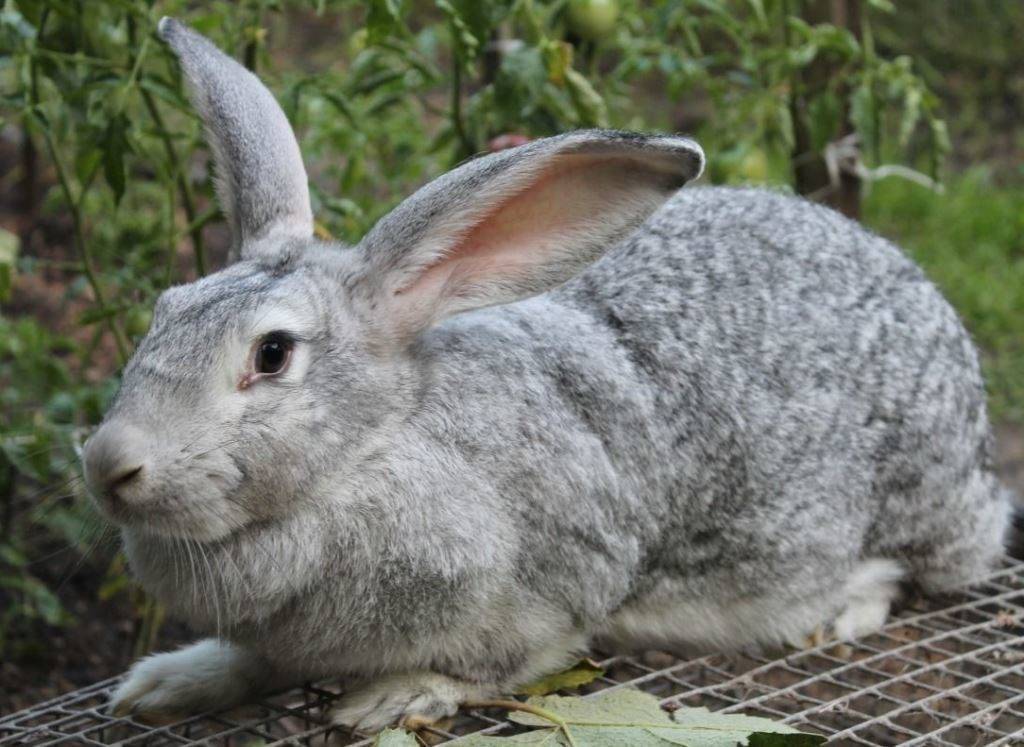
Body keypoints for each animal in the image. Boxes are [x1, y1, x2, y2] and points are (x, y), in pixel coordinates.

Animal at [81, 17, 1015, 733]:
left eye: (271, 355)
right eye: (165, 308)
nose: (108, 464)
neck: (368, 453)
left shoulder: (557, 591)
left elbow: (500, 664)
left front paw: (391, 696)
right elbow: (252, 662)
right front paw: (167, 682)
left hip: (911, 498)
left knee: (918, 565)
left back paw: (839, 610)